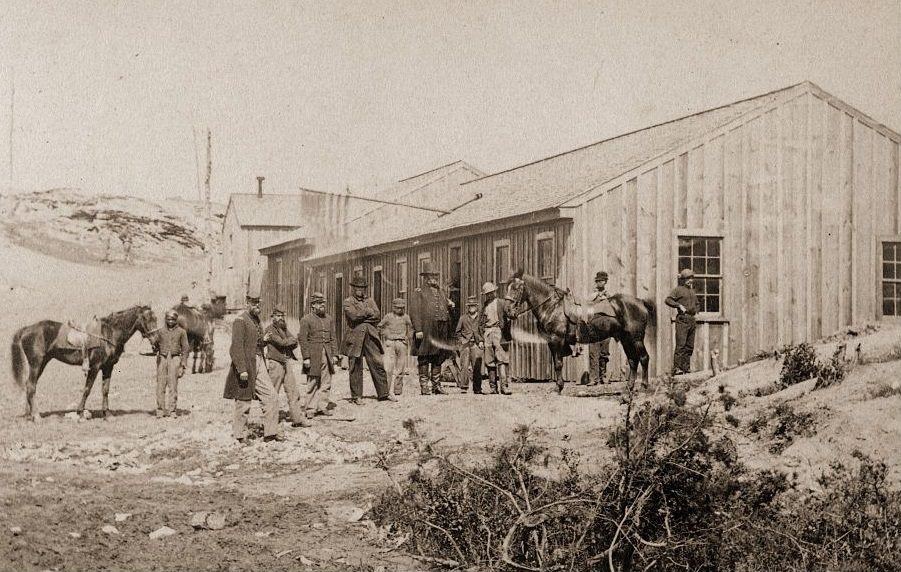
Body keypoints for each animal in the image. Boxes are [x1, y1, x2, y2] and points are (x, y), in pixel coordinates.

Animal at [9, 304, 157, 420]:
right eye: (147, 318)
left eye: (155, 319)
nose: (156, 340)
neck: (109, 333)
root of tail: (27, 329)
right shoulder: (95, 367)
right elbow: (87, 389)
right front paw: (80, 412)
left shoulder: (108, 367)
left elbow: (105, 390)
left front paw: (107, 414)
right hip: (36, 364)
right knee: (31, 386)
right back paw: (36, 416)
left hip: (42, 363)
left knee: (30, 385)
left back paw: (30, 414)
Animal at [506, 270, 652, 392]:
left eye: (516, 288)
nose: (508, 312)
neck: (552, 307)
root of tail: (640, 302)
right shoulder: (551, 342)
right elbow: (556, 363)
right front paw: (558, 386)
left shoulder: (557, 339)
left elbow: (558, 364)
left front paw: (559, 388)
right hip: (626, 339)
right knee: (633, 360)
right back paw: (629, 387)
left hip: (636, 339)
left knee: (644, 358)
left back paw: (643, 386)